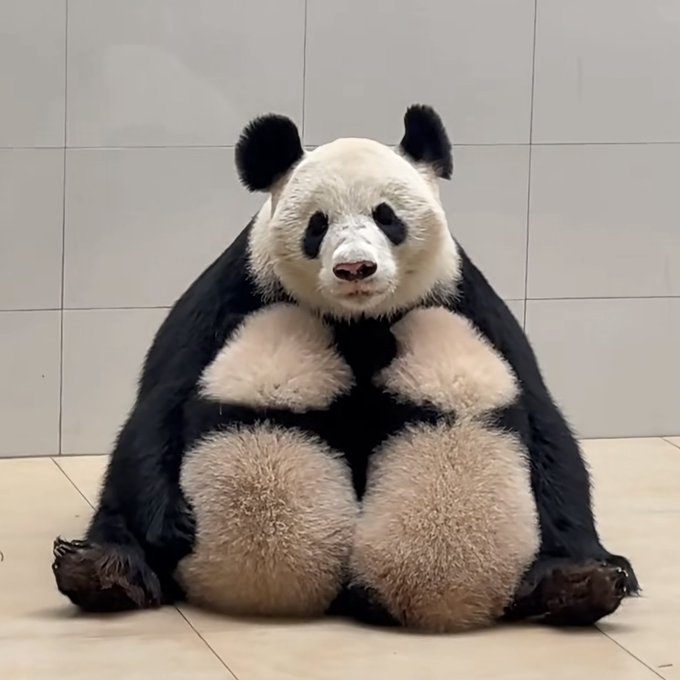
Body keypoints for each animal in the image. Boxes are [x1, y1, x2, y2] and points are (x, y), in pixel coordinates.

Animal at [52, 104, 638, 630]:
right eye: (317, 224)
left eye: (387, 216)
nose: (355, 267)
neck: (358, 322)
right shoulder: (235, 291)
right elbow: (158, 407)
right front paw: (170, 525)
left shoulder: (464, 299)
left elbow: (545, 424)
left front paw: (588, 565)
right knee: (119, 513)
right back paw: (106, 572)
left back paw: (579, 584)